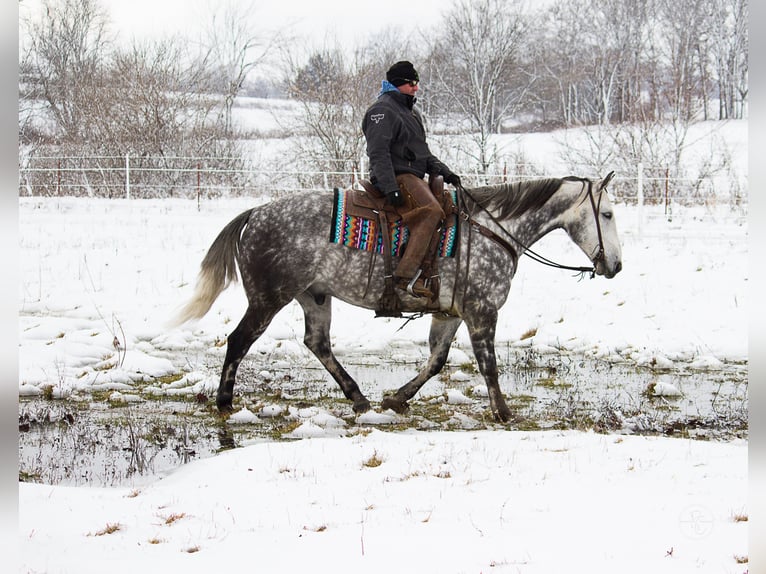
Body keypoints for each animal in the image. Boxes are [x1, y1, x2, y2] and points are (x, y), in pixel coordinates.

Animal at [176, 176, 624, 424]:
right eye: (607, 214)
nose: (616, 265)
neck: (492, 230)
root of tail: (255, 213)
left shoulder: (450, 313)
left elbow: (436, 361)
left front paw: (396, 398)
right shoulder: (482, 312)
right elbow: (489, 366)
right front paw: (504, 413)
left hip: (315, 297)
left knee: (317, 343)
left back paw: (358, 398)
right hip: (269, 298)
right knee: (239, 341)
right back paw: (224, 401)